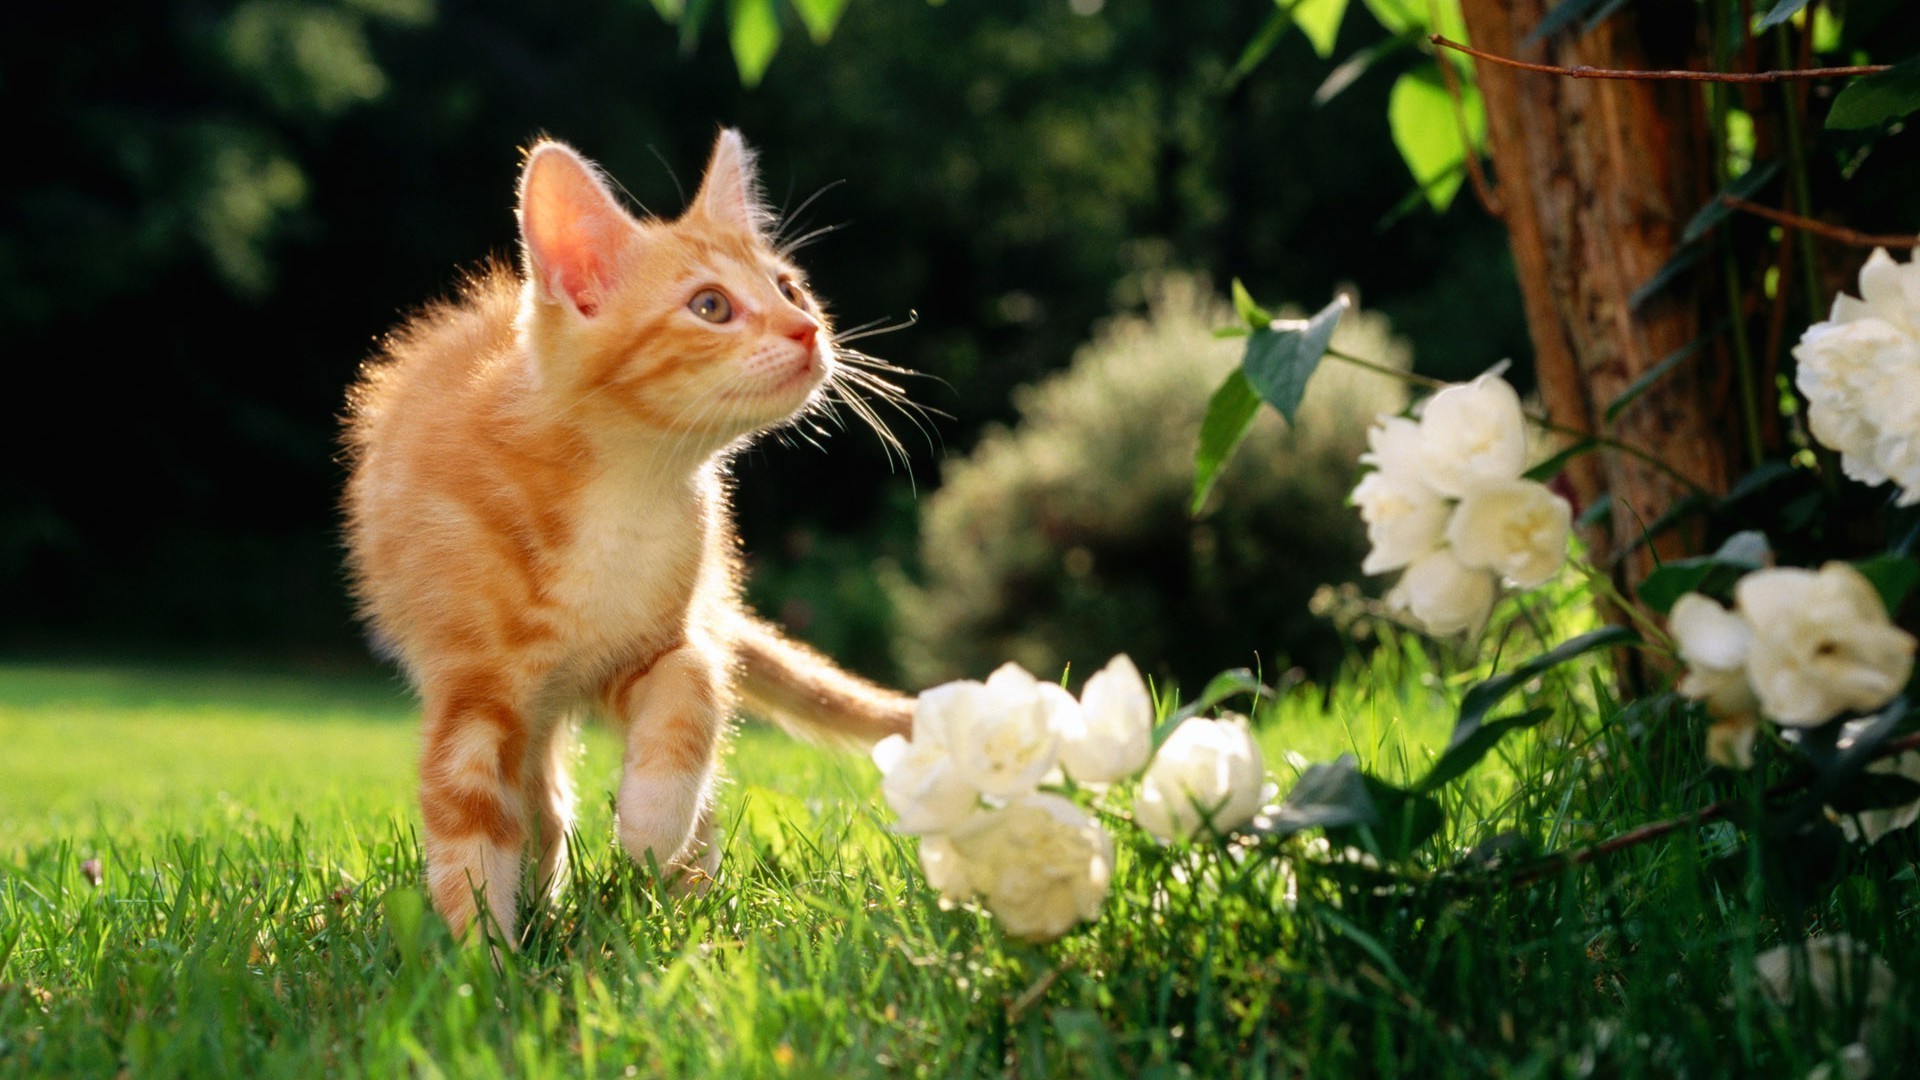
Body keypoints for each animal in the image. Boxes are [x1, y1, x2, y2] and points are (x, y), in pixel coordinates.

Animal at [343, 127, 913, 941]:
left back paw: (686, 893)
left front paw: (650, 825)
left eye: (790, 290)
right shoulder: (473, 686)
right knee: (540, 793)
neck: (625, 488)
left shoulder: (658, 636)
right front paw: (480, 956)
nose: (807, 330)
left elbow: (694, 685)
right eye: (710, 306)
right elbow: (469, 816)